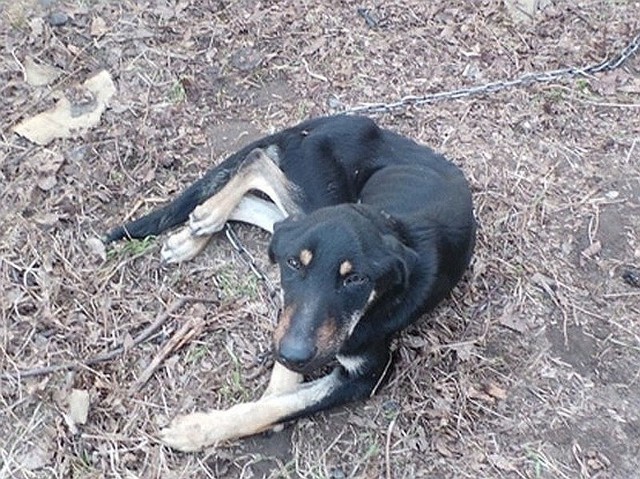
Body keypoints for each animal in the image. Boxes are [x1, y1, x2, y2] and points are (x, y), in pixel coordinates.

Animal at [104, 114, 476, 452]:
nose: (294, 354)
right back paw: (205, 219)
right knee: (258, 164)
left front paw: (197, 430)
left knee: (264, 206)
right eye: (294, 264)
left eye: (356, 279)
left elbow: (278, 403)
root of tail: (341, 119)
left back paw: (196, 230)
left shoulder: (370, 374)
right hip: (318, 193)